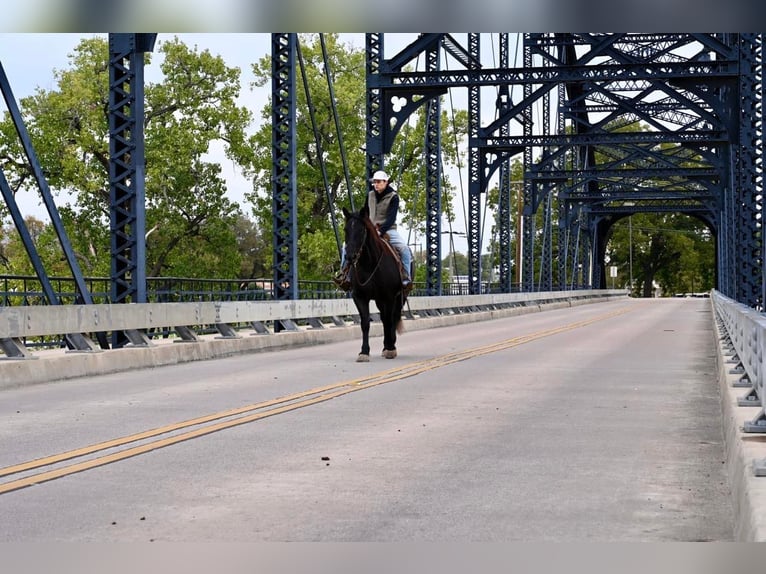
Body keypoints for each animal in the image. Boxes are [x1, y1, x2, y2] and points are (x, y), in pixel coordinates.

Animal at [344, 205, 412, 362]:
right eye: (345, 229)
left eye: (361, 230)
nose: (350, 256)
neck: (370, 264)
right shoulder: (360, 297)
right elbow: (365, 323)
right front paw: (364, 352)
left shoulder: (389, 297)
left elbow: (388, 321)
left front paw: (390, 348)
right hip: (381, 301)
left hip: (400, 297)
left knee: (392, 318)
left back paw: (390, 345)